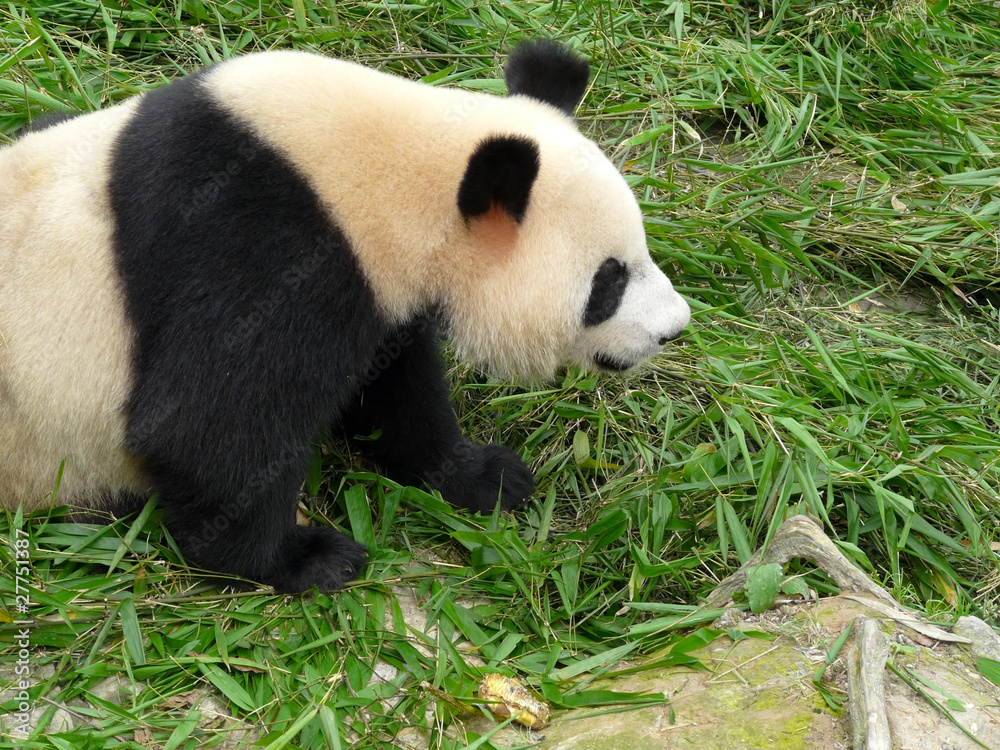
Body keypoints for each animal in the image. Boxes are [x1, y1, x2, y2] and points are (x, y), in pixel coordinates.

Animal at [0, 40, 690, 593]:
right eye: (608, 280)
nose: (673, 328)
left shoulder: (376, 291)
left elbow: (395, 392)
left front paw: (484, 476)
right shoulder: (262, 242)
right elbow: (206, 421)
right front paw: (303, 558)